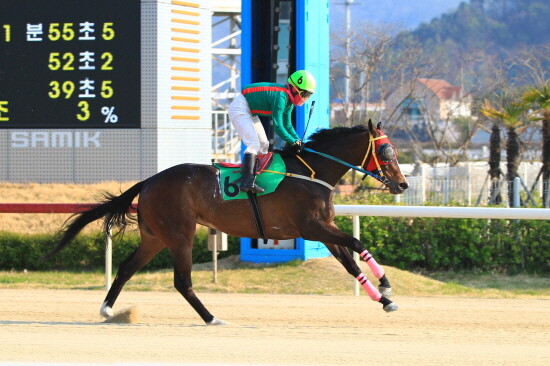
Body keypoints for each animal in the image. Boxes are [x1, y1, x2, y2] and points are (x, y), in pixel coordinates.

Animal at [46, 119, 410, 324]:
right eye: (387, 151)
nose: (403, 184)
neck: (312, 172)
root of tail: (149, 181)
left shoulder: (323, 231)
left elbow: (351, 263)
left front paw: (385, 299)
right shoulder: (312, 227)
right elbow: (358, 243)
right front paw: (387, 285)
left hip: (155, 237)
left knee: (125, 268)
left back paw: (107, 310)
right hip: (180, 235)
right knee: (182, 282)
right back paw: (211, 318)